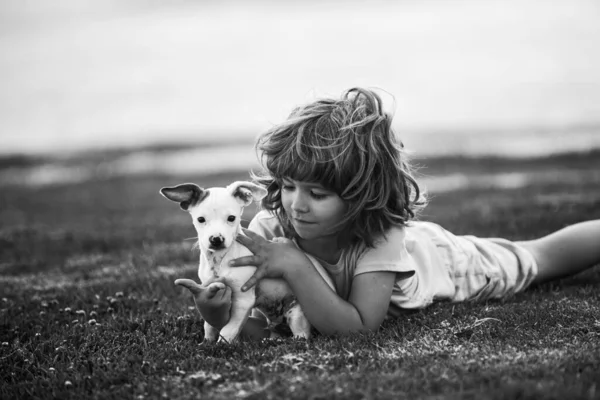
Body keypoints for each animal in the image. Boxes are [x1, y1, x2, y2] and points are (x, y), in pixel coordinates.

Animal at [159, 181, 336, 344]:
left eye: (231, 218)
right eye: (200, 219)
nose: (216, 239)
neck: (221, 259)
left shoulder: (243, 300)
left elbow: (229, 329)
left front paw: (221, 346)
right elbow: (209, 324)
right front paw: (207, 341)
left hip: (298, 315)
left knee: (302, 335)